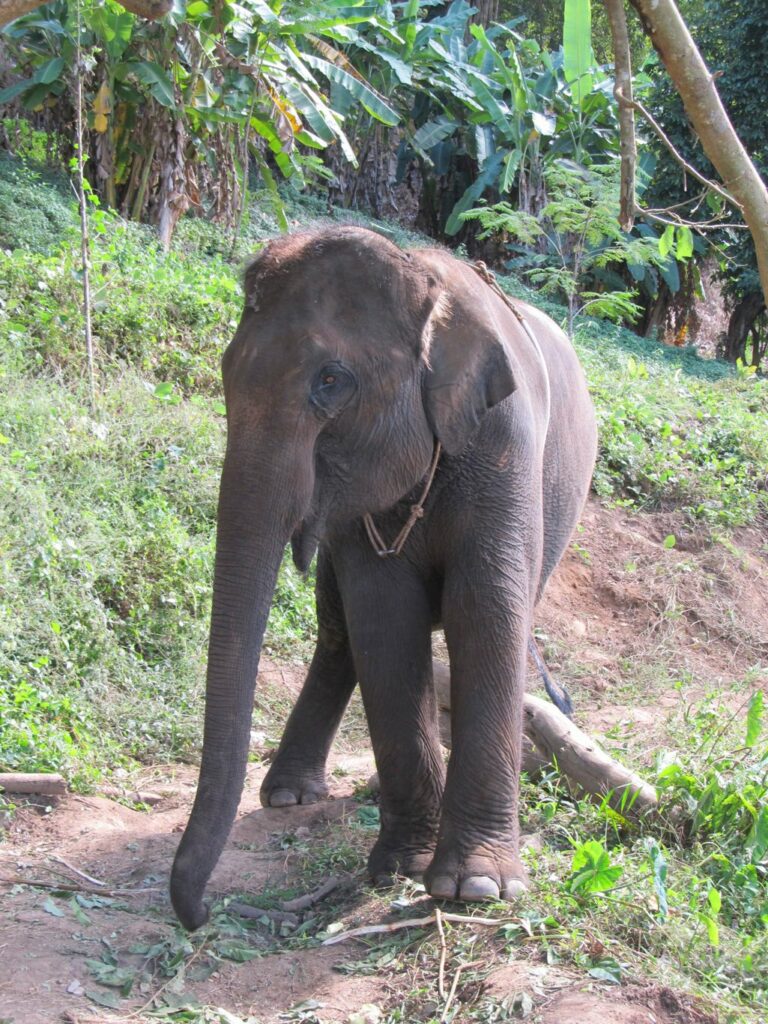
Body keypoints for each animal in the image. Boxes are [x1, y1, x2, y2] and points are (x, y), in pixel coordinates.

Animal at [170, 225, 597, 930]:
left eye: (331, 380)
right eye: (226, 371)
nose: (202, 911)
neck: (421, 279)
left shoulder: (505, 444)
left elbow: (486, 609)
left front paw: (476, 887)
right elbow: (385, 622)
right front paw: (403, 866)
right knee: (340, 631)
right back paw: (290, 794)